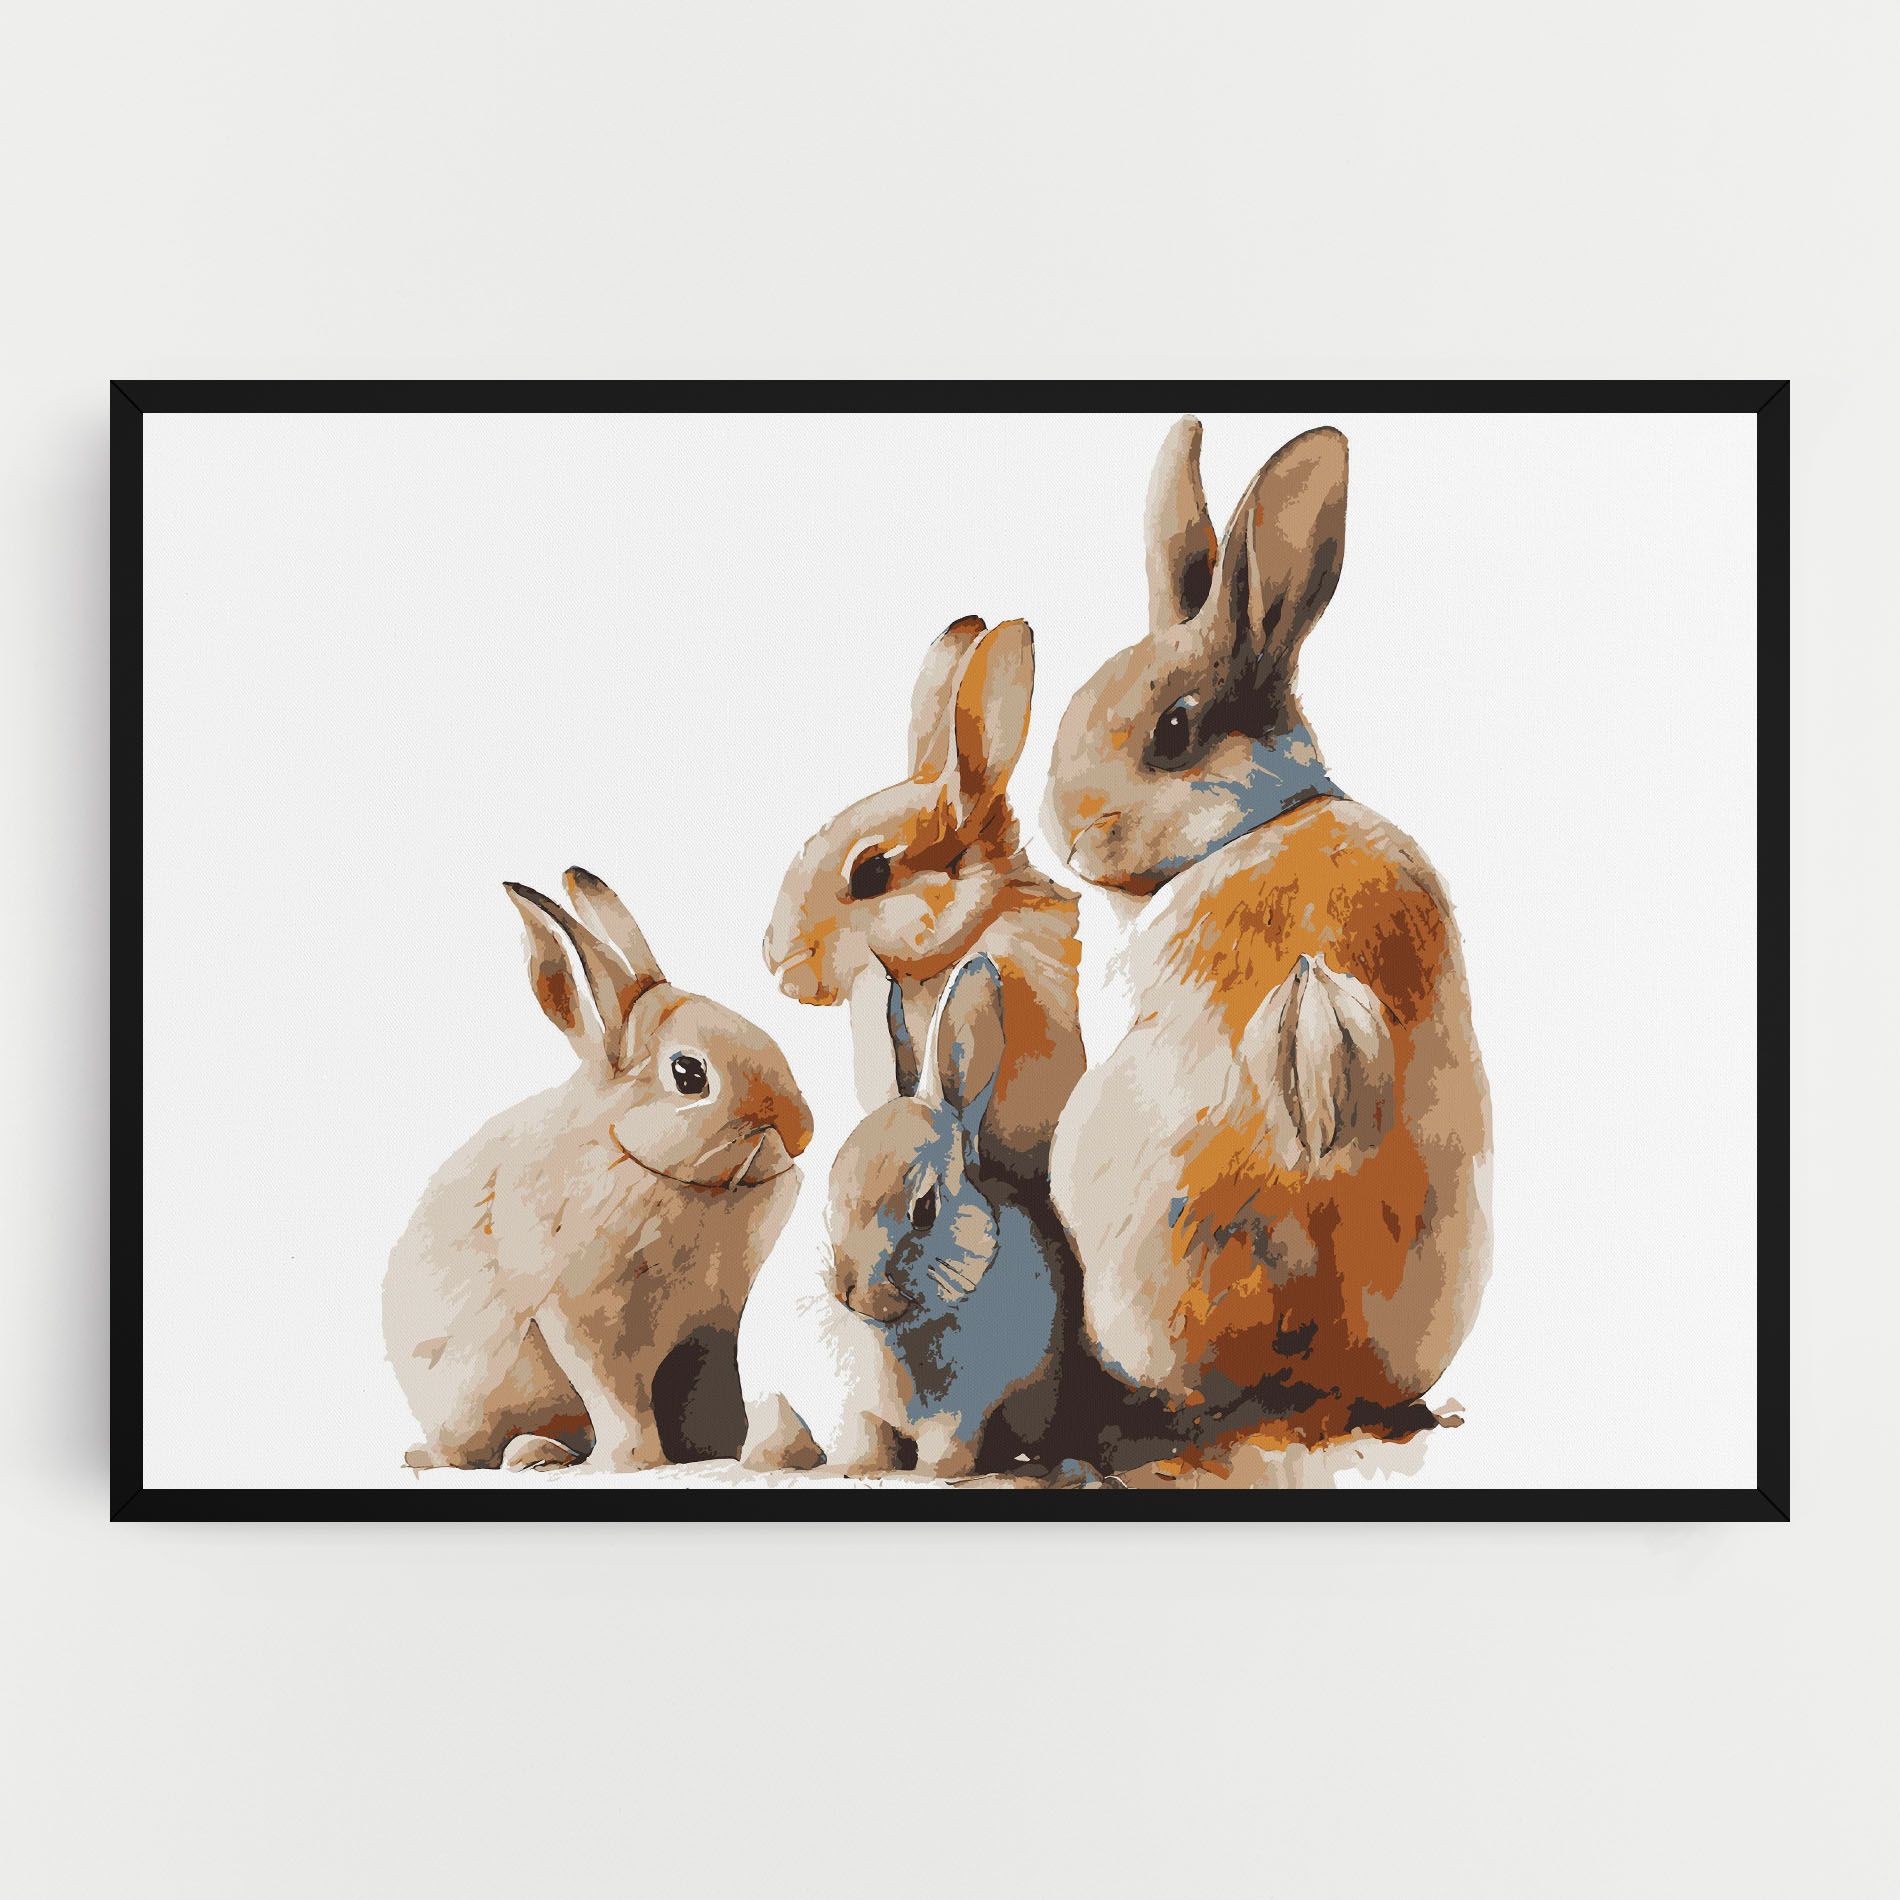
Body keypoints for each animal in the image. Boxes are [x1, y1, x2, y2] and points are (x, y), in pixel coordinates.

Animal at [383, 866, 813, 1472]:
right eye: (689, 1074)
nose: (802, 1129)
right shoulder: (586, 1320)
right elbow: (616, 1395)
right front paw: (637, 1462)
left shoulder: (711, 1326)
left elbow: (709, 1389)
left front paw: (720, 1450)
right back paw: (530, 1454)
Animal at [823, 954, 1064, 1478]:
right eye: (833, 1188)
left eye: (926, 1208)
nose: (850, 1292)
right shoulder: (863, 1412)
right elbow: (869, 1440)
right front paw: (859, 1469)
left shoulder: (959, 1417)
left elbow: (946, 1453)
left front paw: (931, 1475)